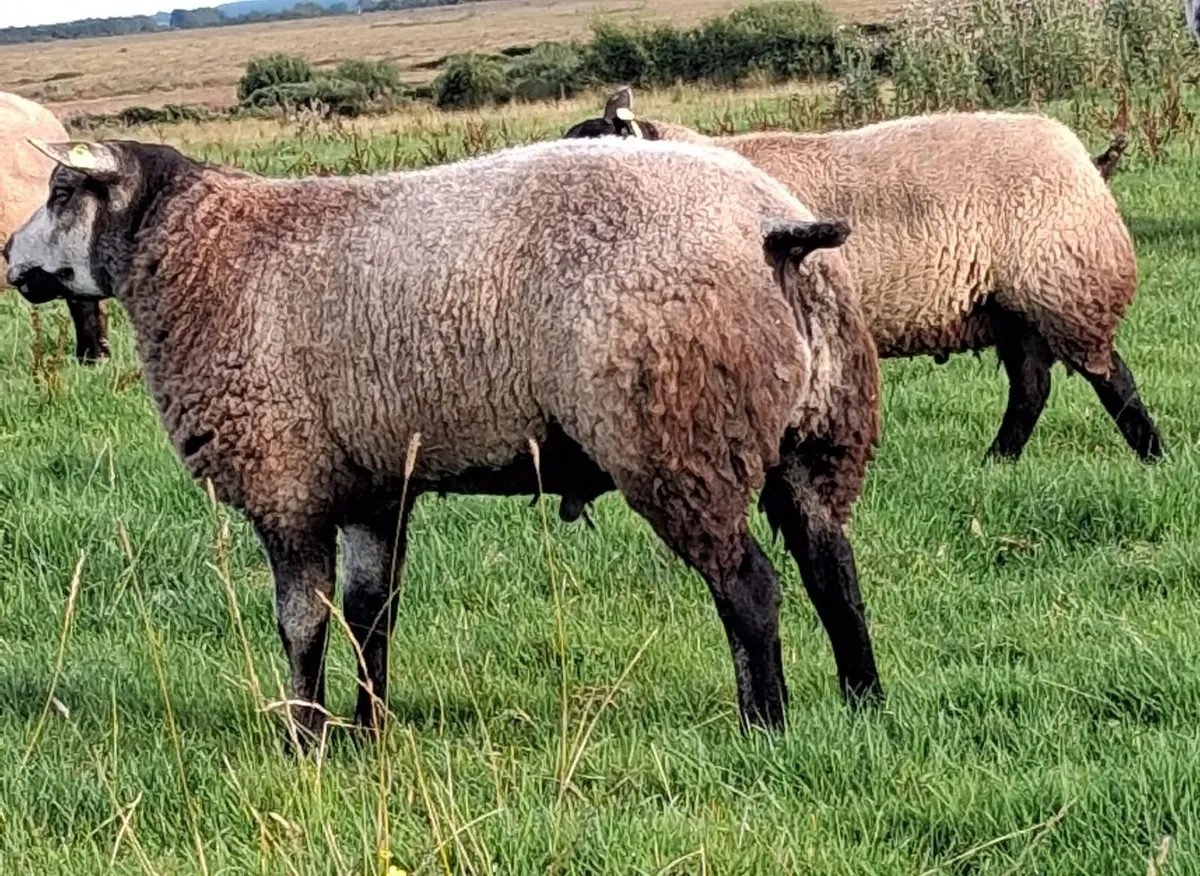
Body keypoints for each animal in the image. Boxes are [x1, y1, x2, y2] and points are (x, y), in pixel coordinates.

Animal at [6, 135, 885, 749]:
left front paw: (303, 738)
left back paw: (764, 727)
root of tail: (775, 227)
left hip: (678, 435)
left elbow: (302, 622)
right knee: (831, 570)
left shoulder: (286, 481)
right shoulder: (370, 485)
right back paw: (862, 703)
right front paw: (368, 732)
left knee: (751, 588)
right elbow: (371, 615)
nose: (10, 258)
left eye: (61, 191)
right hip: (816, 431)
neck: (194, 251)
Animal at [564, 90, 1162, 464]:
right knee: (1032, 388)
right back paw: (998, 460)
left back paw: (1154, 454)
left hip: (1064, 284)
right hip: (1011, 306)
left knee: (1111, 377)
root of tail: (1085, 160)